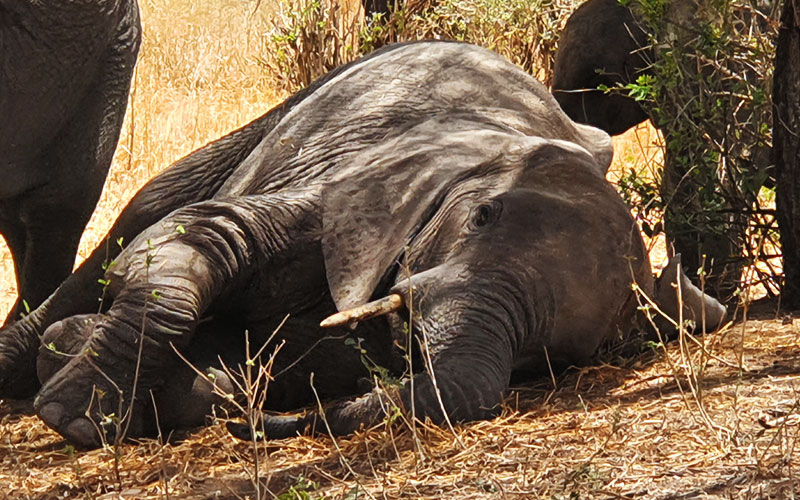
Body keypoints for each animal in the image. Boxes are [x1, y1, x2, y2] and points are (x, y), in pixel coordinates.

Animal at [0, 40, 724, 446]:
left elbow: (236, 368)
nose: (253, 433)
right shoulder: (345, 188)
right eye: (481, 216)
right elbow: (196, 235)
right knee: (142, 215)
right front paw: (73, 419)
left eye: (553, 357)